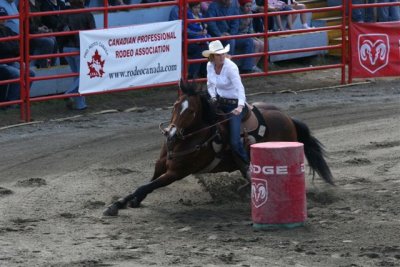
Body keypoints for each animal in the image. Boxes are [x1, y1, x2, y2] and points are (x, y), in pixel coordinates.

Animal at [103, 80, 334, 217]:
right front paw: (121, 203)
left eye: (192, 111)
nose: (171, 134)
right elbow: (144, 185)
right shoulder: (161, 166)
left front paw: (123, 204)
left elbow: (146, 186)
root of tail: (288, 118)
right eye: (176, 105)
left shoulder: (177, 172)